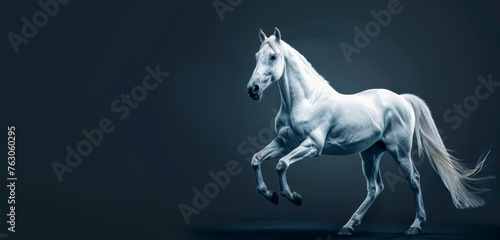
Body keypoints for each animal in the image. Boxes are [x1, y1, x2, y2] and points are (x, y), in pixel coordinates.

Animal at [246, 27, 492, 234]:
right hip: (370, 154)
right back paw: (348, 226)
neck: (307, 100)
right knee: (375, 188)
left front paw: (293, 197)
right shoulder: (284, 143)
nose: (253, 90)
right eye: (257, 56)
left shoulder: (312, 146)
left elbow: (281, 164)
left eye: (273, 56)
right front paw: (270, 195)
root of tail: (402, 99)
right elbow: (256, 159)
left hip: (400, 152)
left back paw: (415, 226)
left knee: (413, 179)